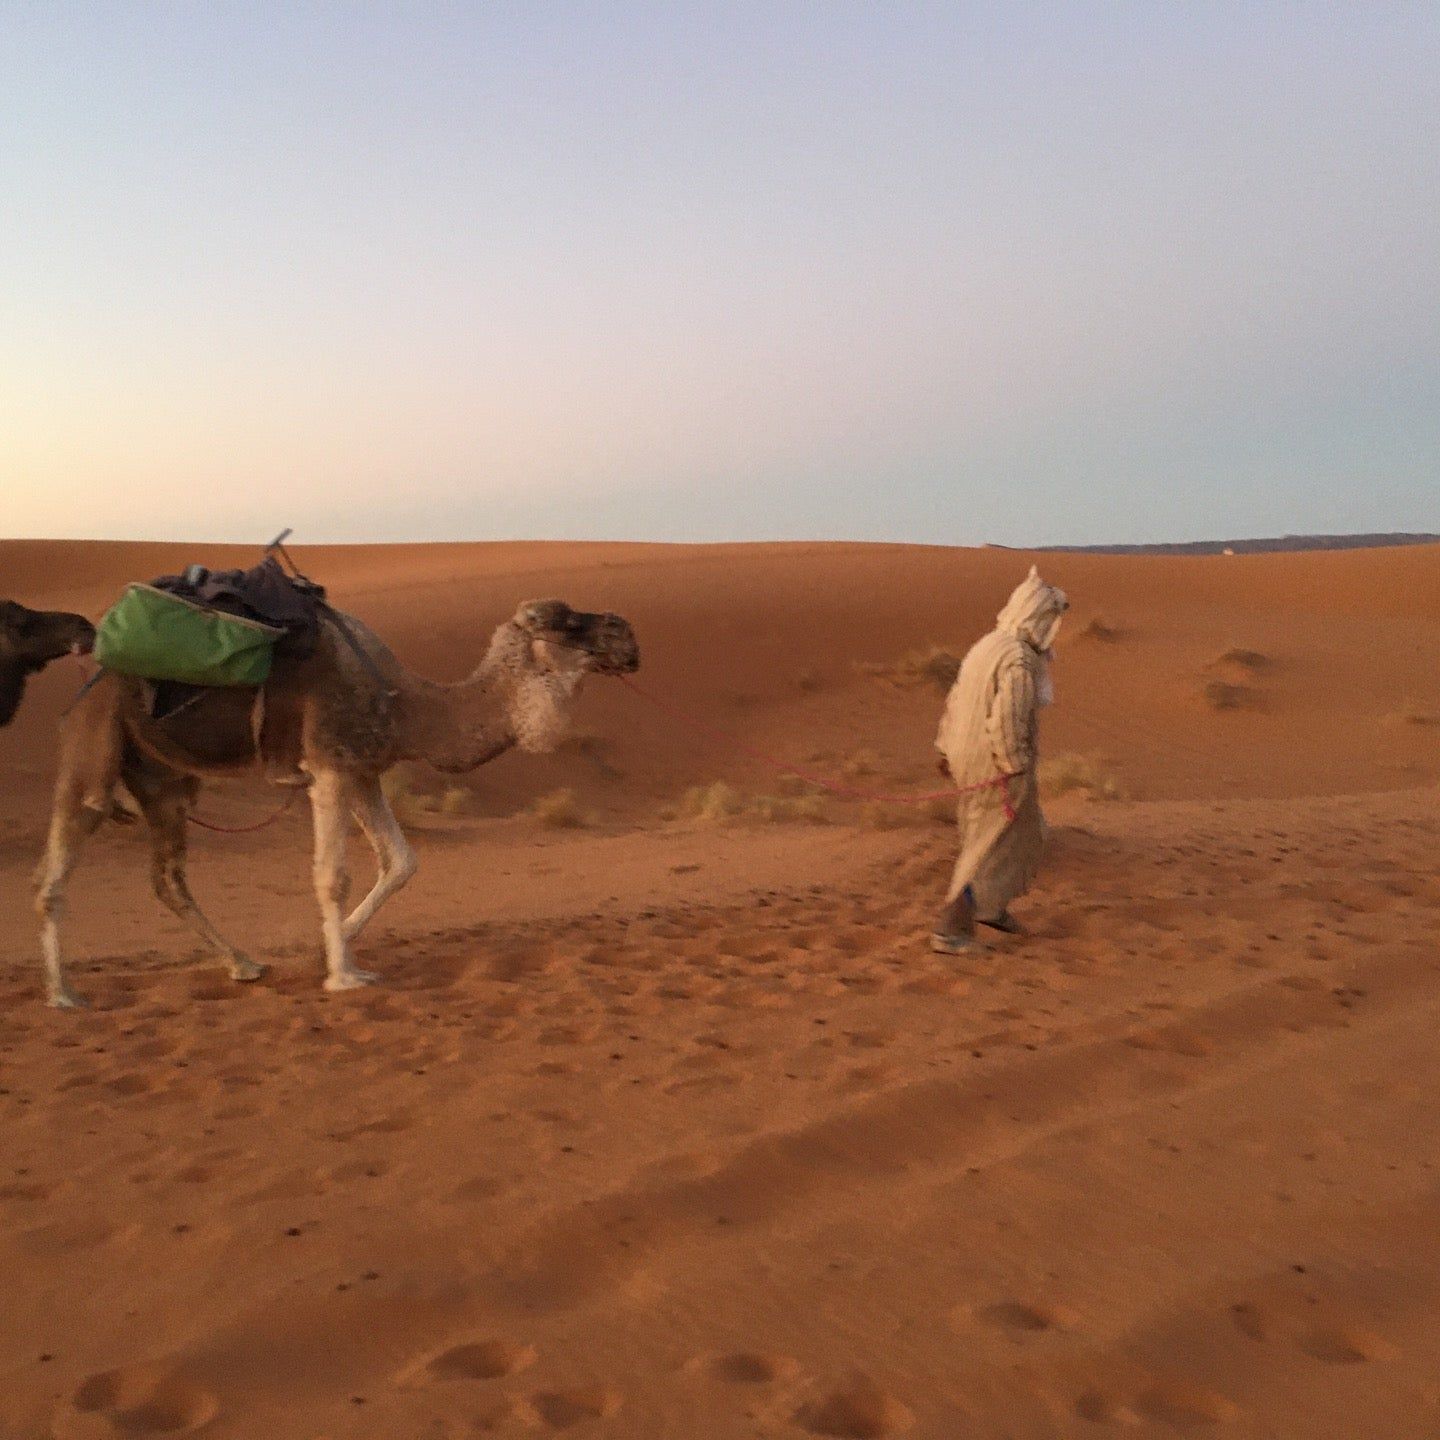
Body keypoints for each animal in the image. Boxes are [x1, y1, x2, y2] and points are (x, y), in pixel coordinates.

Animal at [35, 601, 636, 1008]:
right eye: (567, 622)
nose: (627, 636)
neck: (408, 705)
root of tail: (91, 667)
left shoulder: (362, 771)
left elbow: (402, 862)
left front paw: (331, 949)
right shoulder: (327, 767)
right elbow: (332, 875)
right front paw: (341, 976)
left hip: (162, 779)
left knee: (168, 878)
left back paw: (244, 964)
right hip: (94, 742)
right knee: (60, 863)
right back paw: (62, 994)